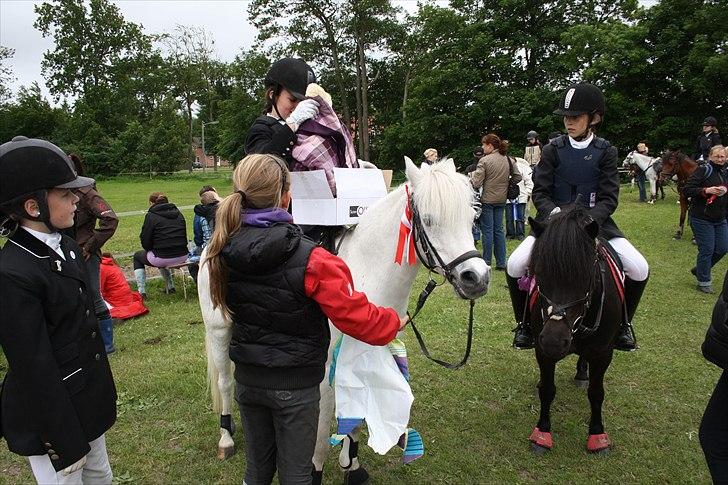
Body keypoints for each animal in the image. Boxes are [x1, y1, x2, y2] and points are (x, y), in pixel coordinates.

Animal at [199, 158, 490, 480]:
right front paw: (318, 469)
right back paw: (225, 437)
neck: (364, 271)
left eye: (472, 216)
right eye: (427, 219)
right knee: (225, 382)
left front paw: (351, 462)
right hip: (218, 331)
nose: (477, 278)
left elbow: (356, 407)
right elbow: (319, 429)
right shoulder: (322, 370)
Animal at [528, 207, 624, 454]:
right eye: (538, 272)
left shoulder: (603, 353)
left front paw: (598, 436)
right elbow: (547, 389)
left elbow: (597, 393)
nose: (554, 341)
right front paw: (542, 434)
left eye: (586, 276)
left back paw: (582, 373)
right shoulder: (542, 351)